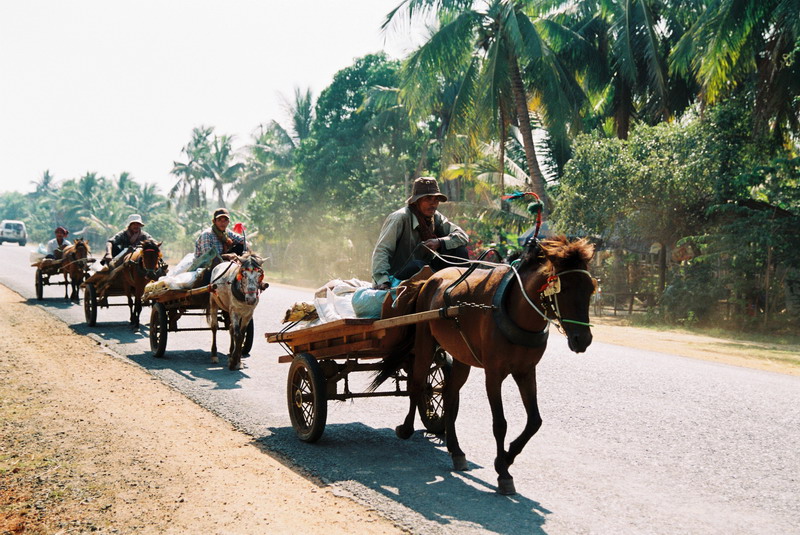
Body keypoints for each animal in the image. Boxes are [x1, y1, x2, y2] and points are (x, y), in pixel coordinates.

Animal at [370, 237, 592, 496]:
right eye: (563, 289)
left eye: (591, 289)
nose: (583, 340)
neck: (513, 309)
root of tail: (430, 279)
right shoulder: (493, 373)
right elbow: (500, 423)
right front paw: (504, 473)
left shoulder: (526, 371)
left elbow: (535, 421)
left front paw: (506, 458)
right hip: (424, 342)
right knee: (417, 385)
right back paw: (406, 428)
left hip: (462, 356)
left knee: (449, 394)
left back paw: (456, 451)